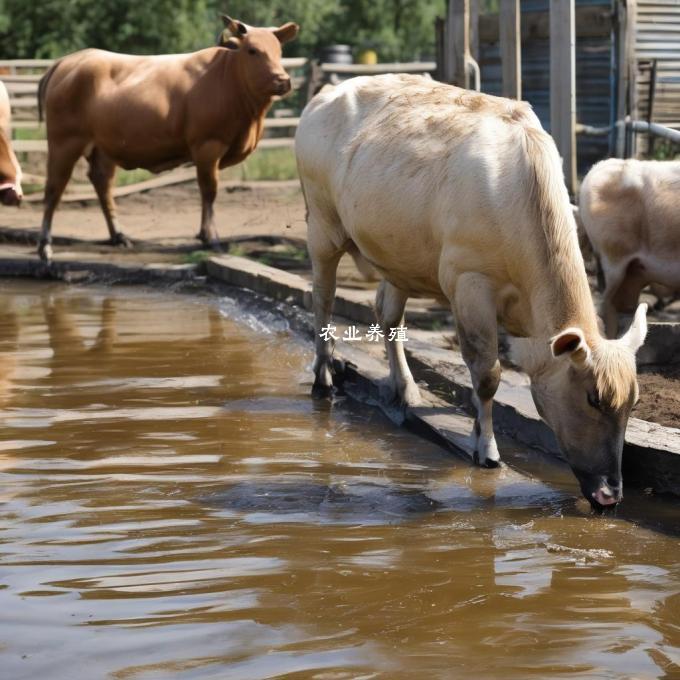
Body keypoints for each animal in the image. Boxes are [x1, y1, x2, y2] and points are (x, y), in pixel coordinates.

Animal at [36, 16, 298, 260]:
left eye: (280, 51)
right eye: (252, 50)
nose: (283, 80)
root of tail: (69, 61)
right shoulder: (207, 146)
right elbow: (209, 191)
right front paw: (210, 238)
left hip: (103, 148)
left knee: (103, 183)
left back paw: (119, 236)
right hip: (64, 141)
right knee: (54, 188)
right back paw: (45, 246)